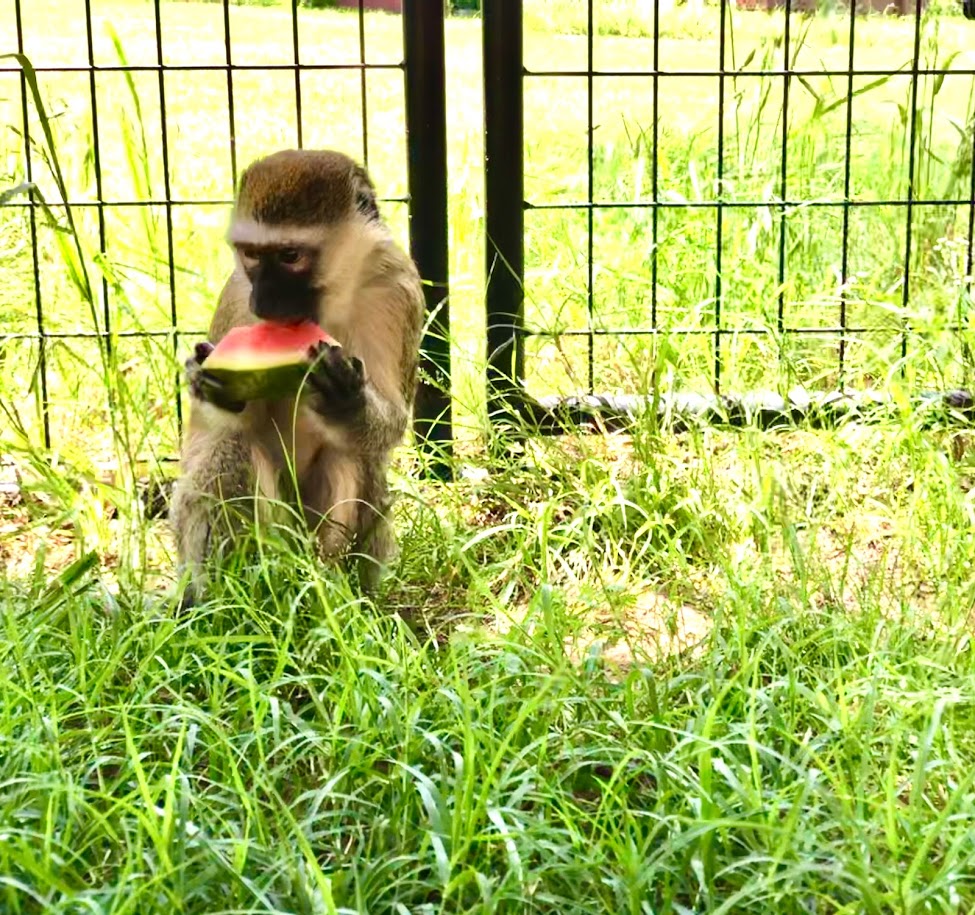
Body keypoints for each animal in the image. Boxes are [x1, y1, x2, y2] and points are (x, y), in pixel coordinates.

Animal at [169, 148, 425, 606]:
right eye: (252, 255)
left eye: (290, 255)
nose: (264, 301)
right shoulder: (238, 295)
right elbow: (219, 428)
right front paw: (211, 385)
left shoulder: (395, 286)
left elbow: (392, 419)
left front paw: (346, 402)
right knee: (228, 451)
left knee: (352, 457)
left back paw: (333, 589)